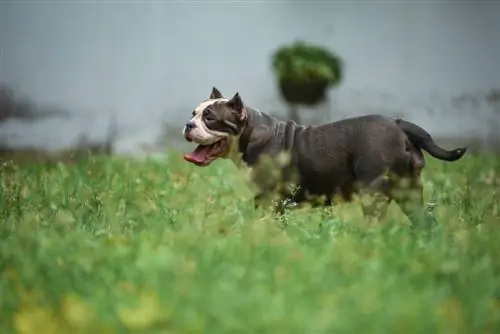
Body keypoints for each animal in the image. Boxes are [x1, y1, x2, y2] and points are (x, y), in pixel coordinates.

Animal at [182, 86, 466, 227]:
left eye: (210, 118)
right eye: (194, 113)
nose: (188, 124)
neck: (250, 132)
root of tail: (399, 124)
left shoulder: (269, 200)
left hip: (373, 193)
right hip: (410, 190)